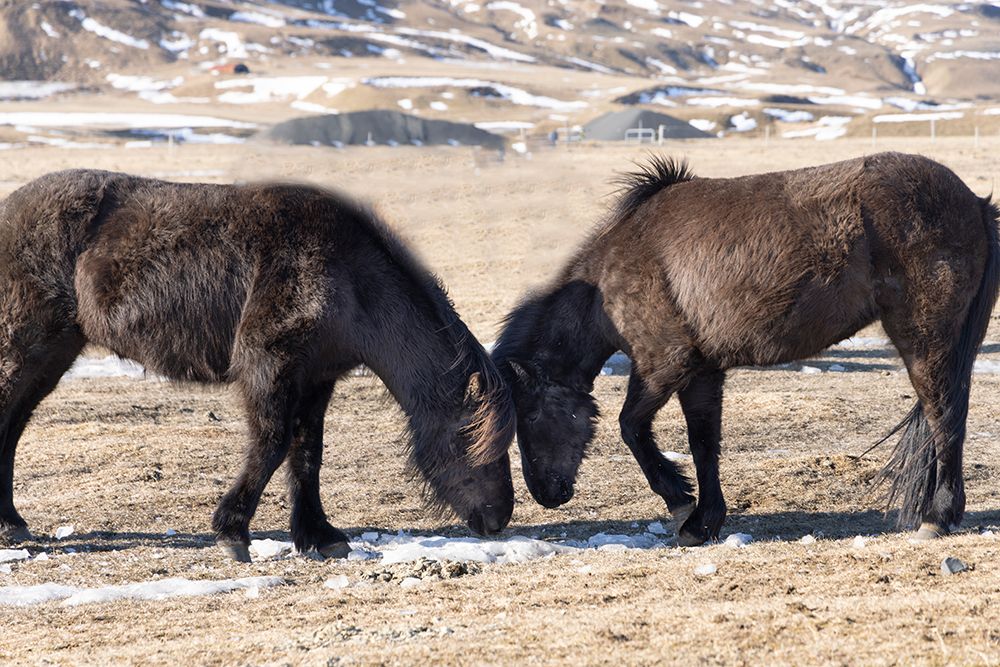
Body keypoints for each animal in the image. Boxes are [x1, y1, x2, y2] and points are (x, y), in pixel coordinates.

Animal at [0, 169, 516, 561]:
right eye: (469, 439)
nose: (499, 519)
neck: (349, 279)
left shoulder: (317, 378)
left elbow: (307, 454)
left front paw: (318, 536)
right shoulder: (269, 367)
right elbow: (271, 445)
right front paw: (232, 532)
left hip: (54, 354)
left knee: (14, 426)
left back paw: (12, 523)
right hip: (24, 347)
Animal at [494, 152, 999, 546]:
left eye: (531, 416)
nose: (546, 495)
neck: (609, 282)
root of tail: (975, 203)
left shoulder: (664, 366)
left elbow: (631, 428)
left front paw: (681, 503)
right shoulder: (701, 372)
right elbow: (703, 444)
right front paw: (703, 521)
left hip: (925, 338)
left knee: (944, 418)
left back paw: (937, 518)